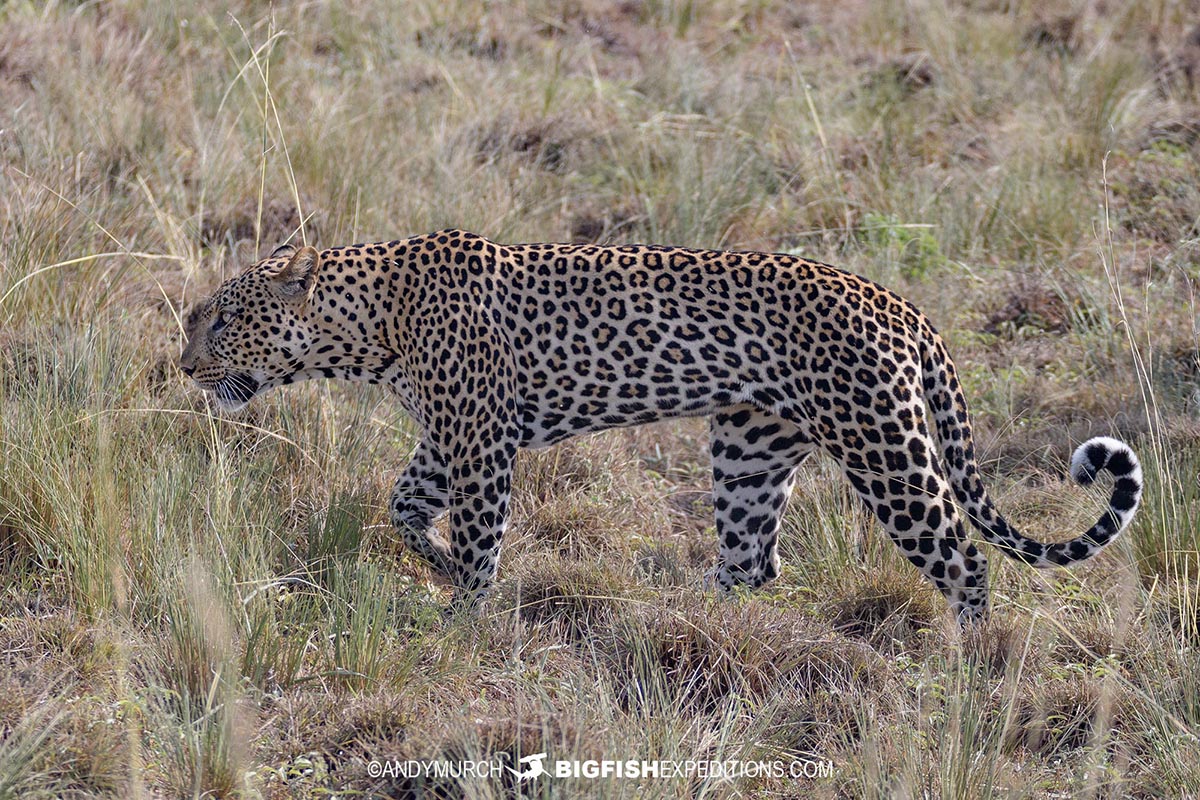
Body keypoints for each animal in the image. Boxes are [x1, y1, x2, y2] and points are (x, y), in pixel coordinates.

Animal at [180, 229, 1143, 623]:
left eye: (219, 321)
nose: (184, 367)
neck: (370, 324)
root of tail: (902, 306)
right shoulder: (446, 438)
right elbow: (402, 508)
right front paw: (440, 569)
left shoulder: (482, 442)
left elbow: (482, 536)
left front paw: (467, 615)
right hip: (750, 447)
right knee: (754, 563)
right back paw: (689, 631)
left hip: (885, 447)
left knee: (964, 560)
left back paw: (965, 669)